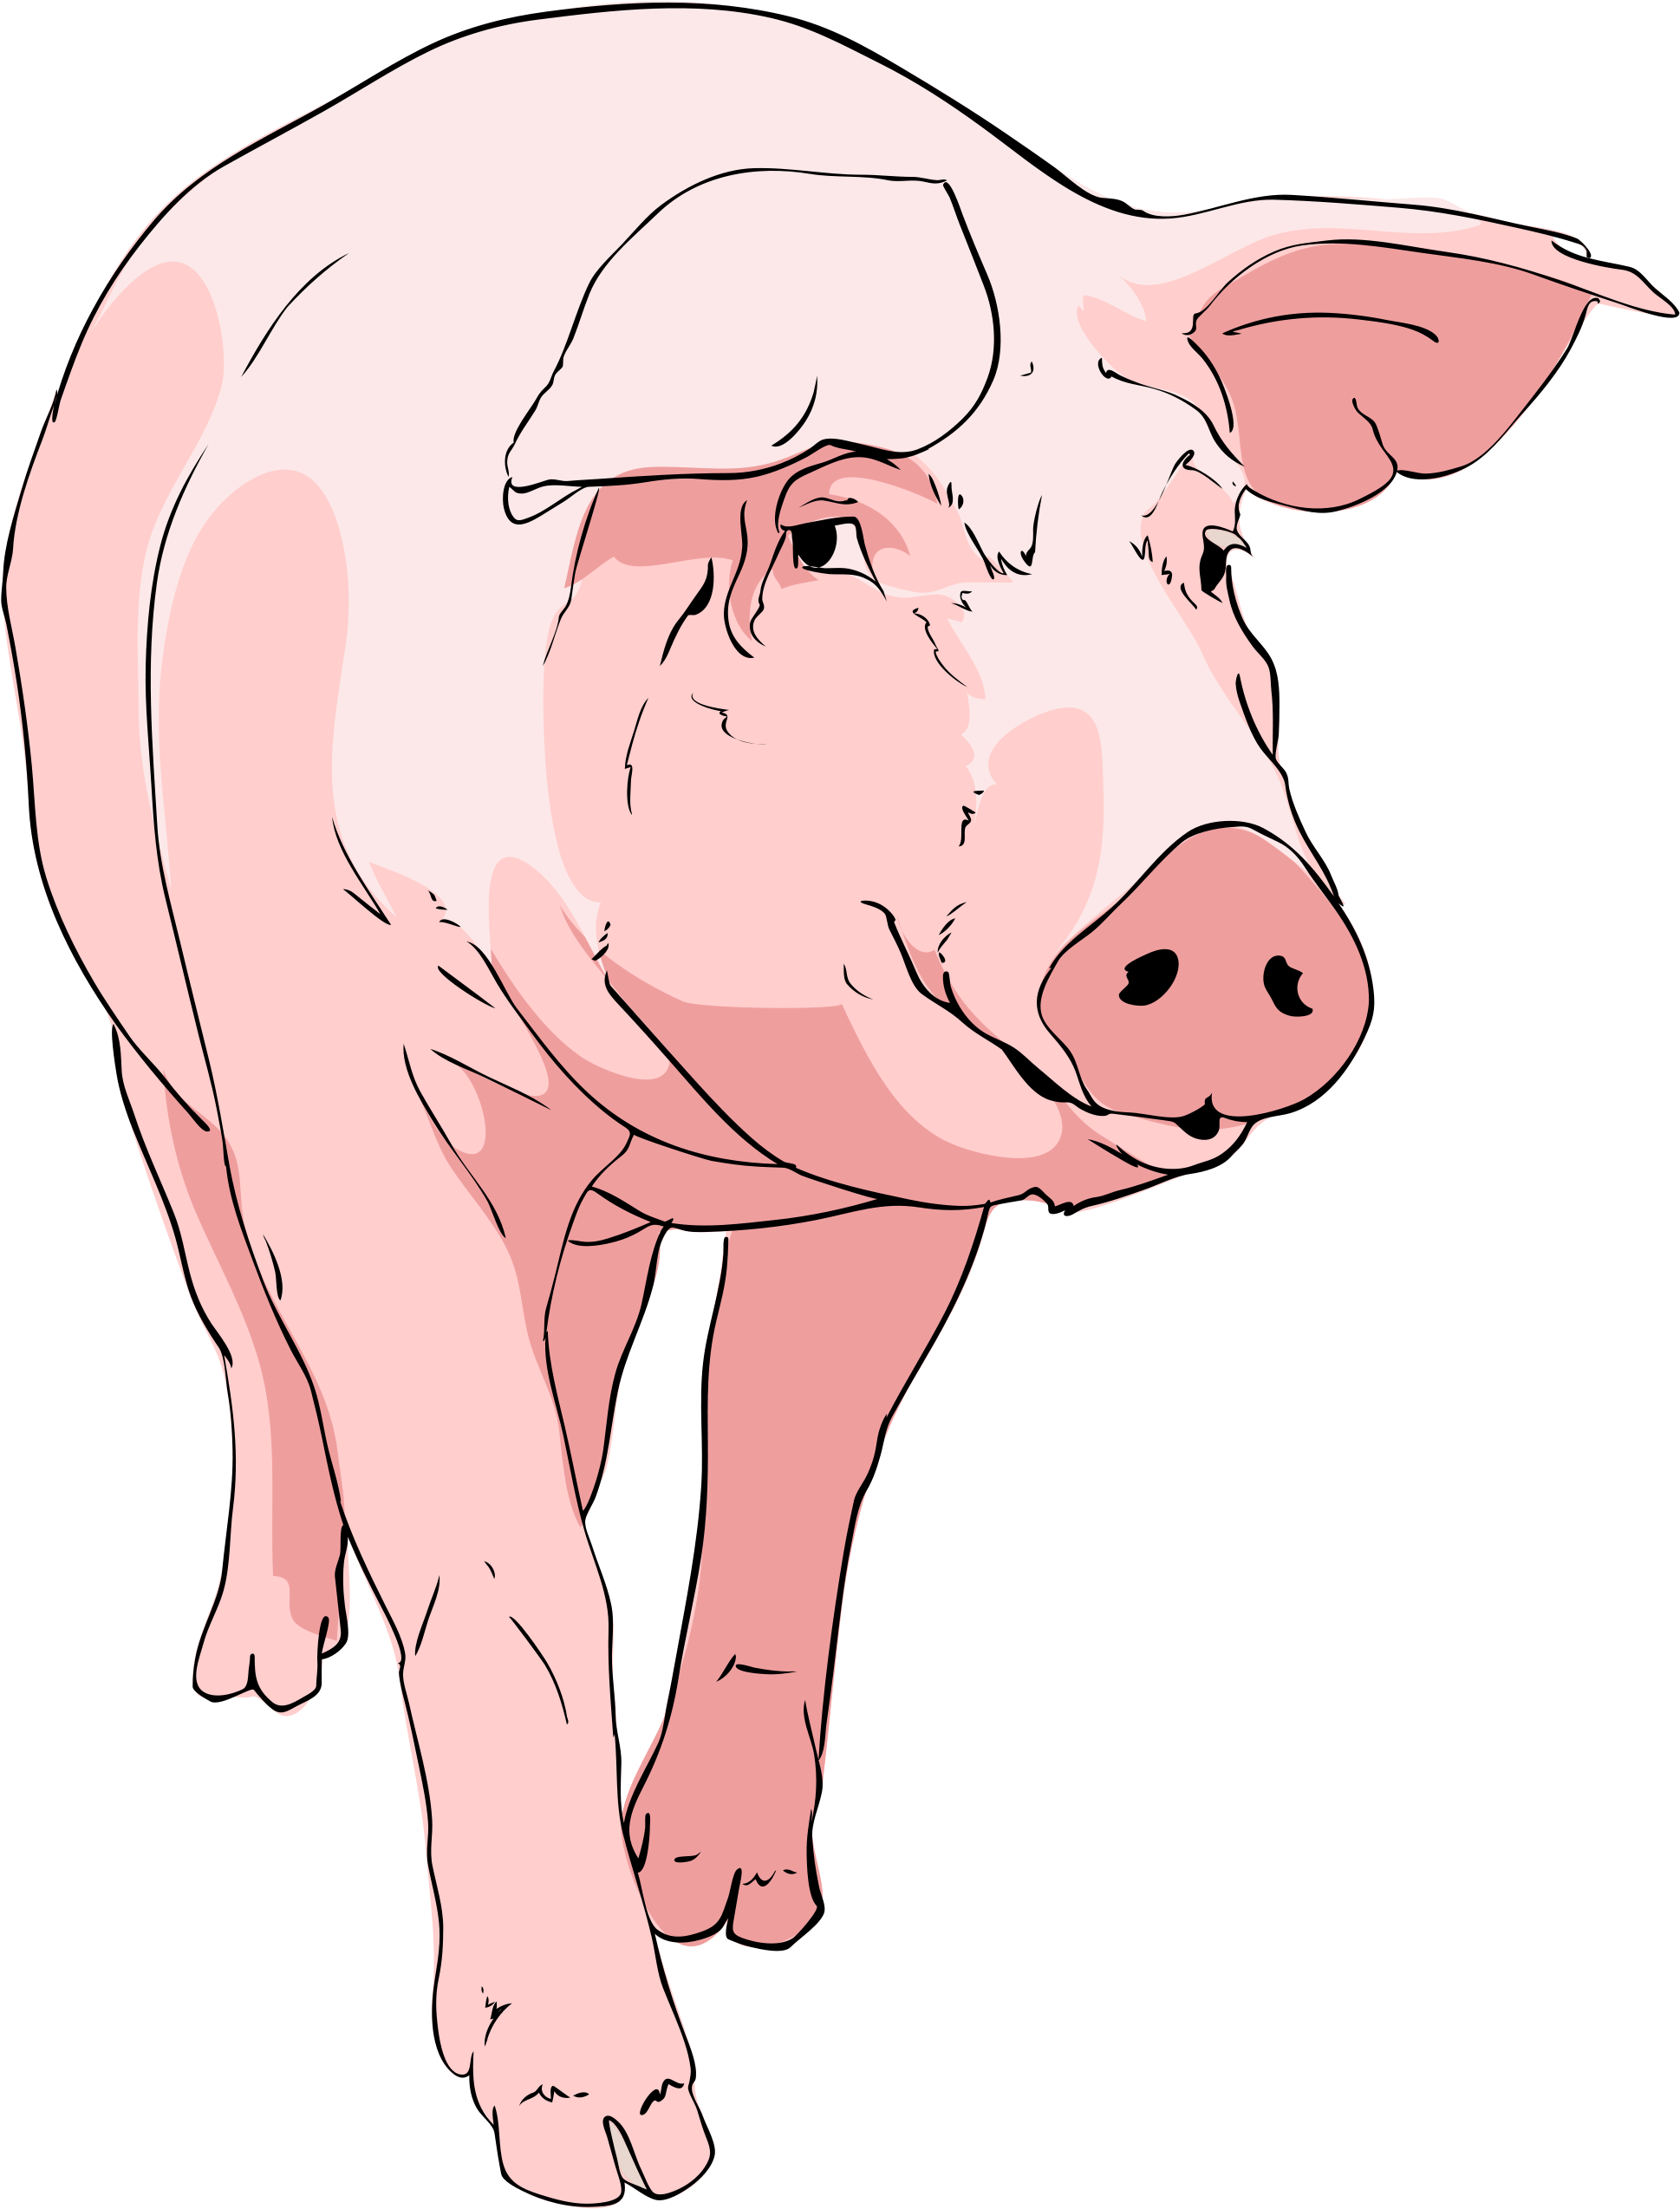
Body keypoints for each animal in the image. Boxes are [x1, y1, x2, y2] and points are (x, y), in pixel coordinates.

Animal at [7, 8, 1668, 2202]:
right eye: (827, 537)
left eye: (1209, 552)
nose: (1233, 910)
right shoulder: (342, 1074)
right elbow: (496, 1566)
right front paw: (609, 2145)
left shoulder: (885, 1201)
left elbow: (793, 1472)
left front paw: (730, 1909)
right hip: (147, 1029)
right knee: (251, 1339)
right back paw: (267, 1672)